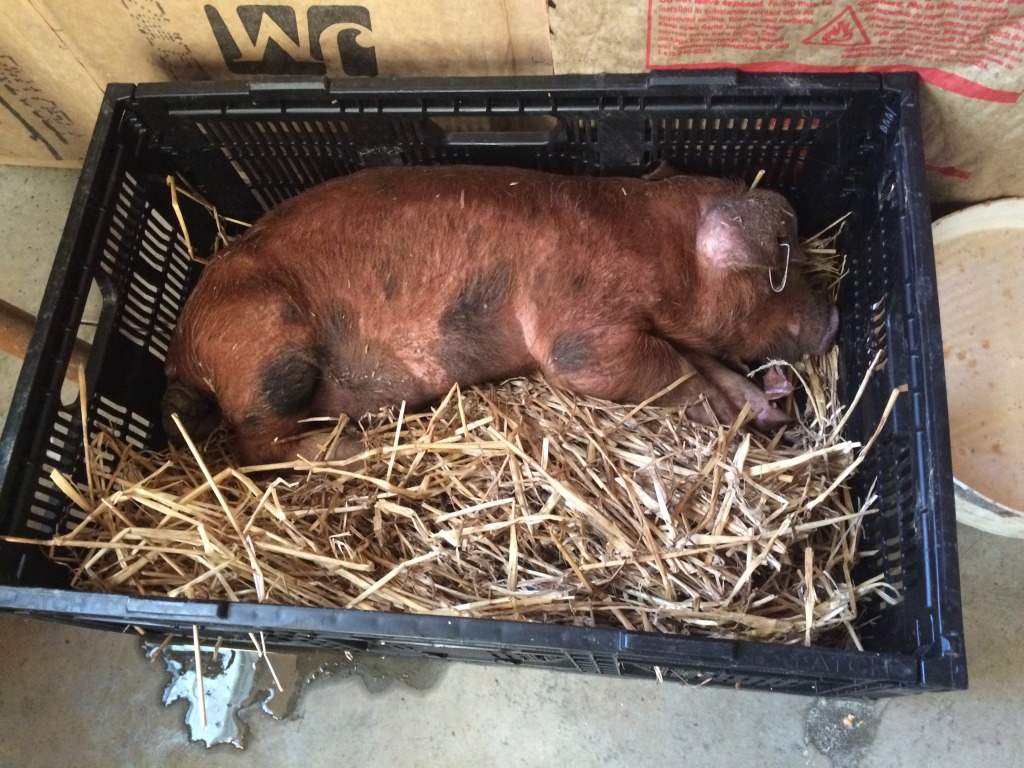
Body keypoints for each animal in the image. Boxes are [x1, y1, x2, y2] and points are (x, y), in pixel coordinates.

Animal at [159, 165, 835, 466]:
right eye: (782, 268)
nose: (832, 321)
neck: (657, 248)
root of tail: (181, 350)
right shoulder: (581, 328)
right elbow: (658, 373)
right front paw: (728, 415)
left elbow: (705, 365)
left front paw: (769, 406)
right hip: (265, 350)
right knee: (258, 447)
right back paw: (346, 447)